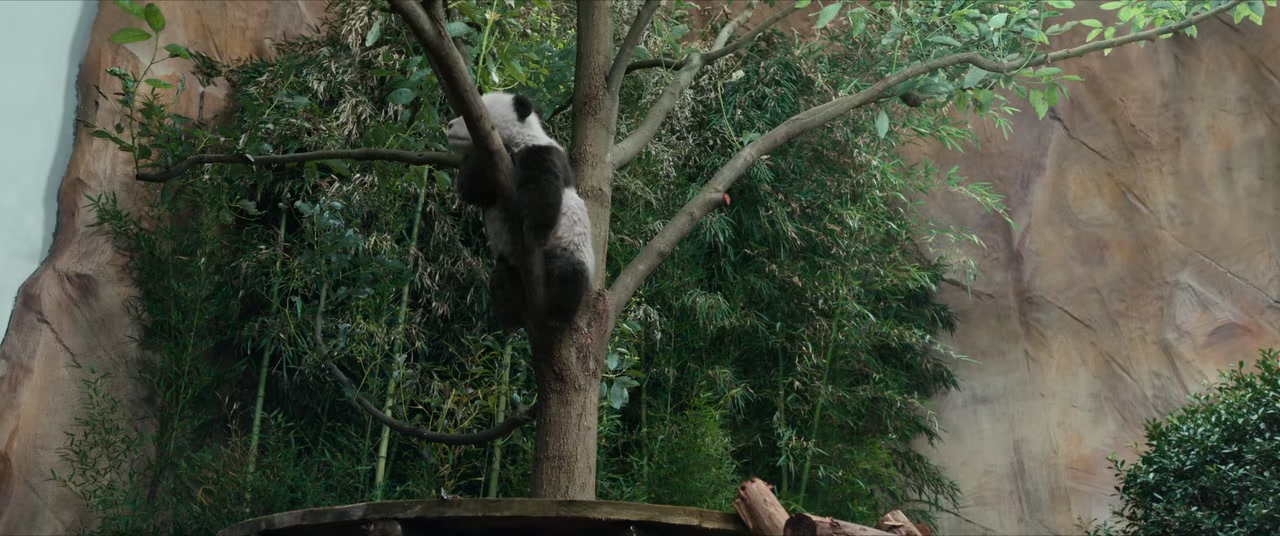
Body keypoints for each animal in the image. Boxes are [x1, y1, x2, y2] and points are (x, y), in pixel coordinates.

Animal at [446, 91, 595, 330]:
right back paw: (511, 316)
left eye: (469, 119)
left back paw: (556, 316)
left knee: (569, 273)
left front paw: (535, 234)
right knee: (502, 278)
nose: (449, 126)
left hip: (570, 249)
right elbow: (472, 189)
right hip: (508, 264)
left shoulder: (540, 151)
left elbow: (543, 191)